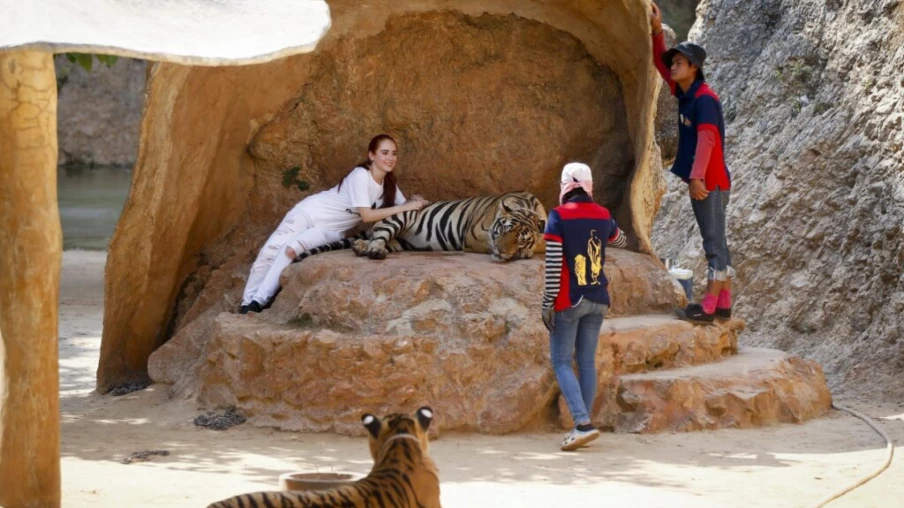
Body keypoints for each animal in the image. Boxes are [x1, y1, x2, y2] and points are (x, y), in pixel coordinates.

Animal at [294, 191, 546, 263]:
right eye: (504, 230)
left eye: (520, 239)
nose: (502, 253)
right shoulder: (473, 236)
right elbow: (488, 242)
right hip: (399, 217)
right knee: (379, 236)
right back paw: (373, 251)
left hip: (401, 241)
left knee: (379, 239)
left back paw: (361, 246)